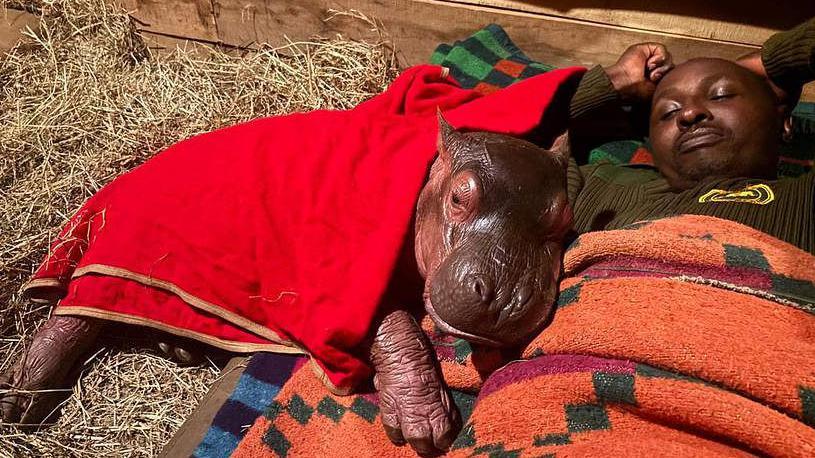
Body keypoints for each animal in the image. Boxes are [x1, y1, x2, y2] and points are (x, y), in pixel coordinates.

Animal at [0, 114, 573, 455]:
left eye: (564, 220)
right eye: (459, 197)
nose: (502, 296)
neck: (424, 187)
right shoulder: (348, 284)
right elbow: (396, 326)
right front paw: (425, 428)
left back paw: (177, 347)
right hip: (121, 248)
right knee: (72, 316)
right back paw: (18, 400)